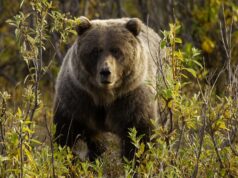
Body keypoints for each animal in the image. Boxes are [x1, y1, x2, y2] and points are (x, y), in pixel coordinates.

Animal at [54, 16, 162, 161]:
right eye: (95, 51)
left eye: (116, 50)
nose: (105, 71)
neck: (104, 96)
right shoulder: (77, 97)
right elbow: (66, 134)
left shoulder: (132, 98)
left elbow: (140, 136)